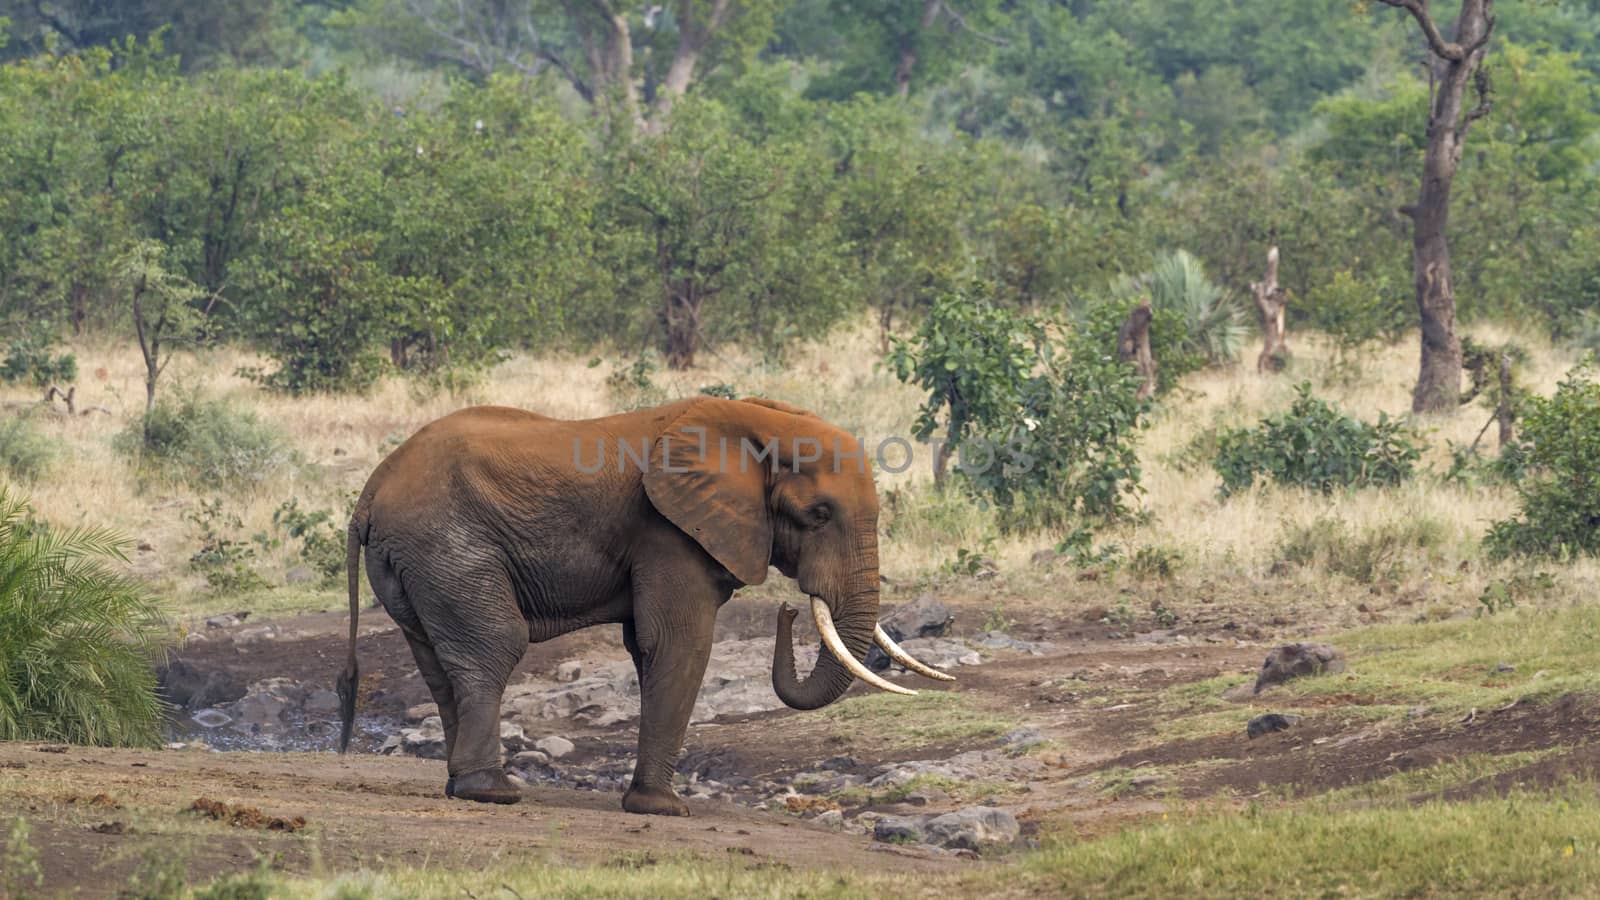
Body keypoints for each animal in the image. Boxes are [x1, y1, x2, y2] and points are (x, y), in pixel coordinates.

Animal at [331, 393, 940, 813]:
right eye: (818, 514)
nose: (788, 611)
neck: (754, 422)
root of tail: (370, 491)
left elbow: (649, 649)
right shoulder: (669, 531)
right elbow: (677, 642)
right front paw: (665, 810)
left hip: (411, 562)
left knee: (437, 663)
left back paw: (461, 785)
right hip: (447, 546)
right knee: (495, 644)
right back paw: (493, 792)